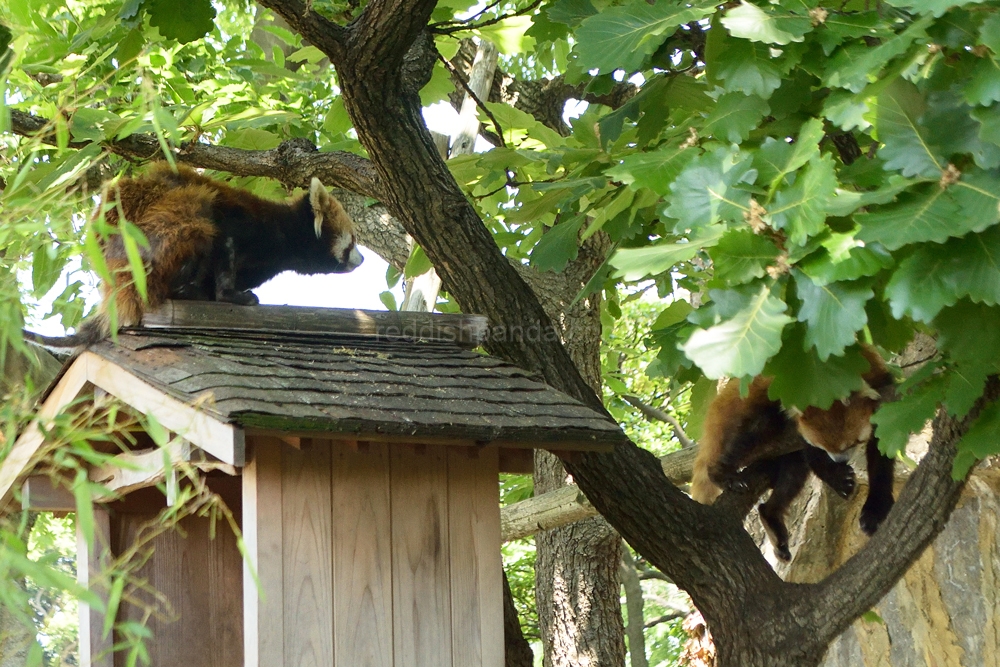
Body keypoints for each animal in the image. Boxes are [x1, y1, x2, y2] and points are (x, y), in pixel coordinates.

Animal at [24, 163, 364, 350]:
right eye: (353, 241)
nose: (361, 260)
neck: (281, 235)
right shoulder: (241, 224)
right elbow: (224, 251)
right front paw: (231, 296)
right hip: (161, 233)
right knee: (197, 211)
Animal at [692, 348, 896, 560]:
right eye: (823, 447)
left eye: (855, 442)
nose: (840, 460)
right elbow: (808, 451)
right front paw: (836, 477)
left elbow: (882, 452)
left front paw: (875, 509)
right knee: (756, 432)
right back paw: (722, 473)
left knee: (792, 473)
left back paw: (771, 515)